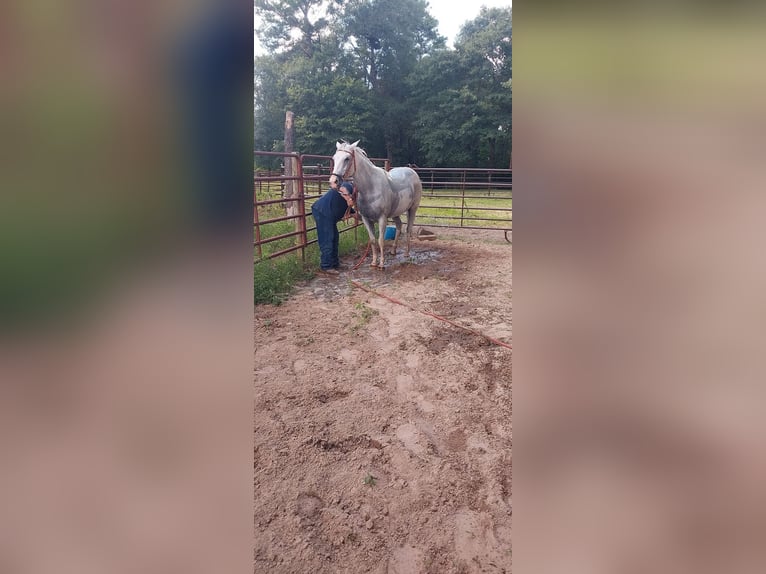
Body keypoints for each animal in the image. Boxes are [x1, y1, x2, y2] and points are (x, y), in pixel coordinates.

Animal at [332, 143, 424, 272]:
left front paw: (381, 264)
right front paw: (373, 263)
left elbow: (381, 240)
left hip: (412, 209)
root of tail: (412, 171)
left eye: (347, 158)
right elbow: (372, 240)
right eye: (334, 158)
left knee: (408, 229)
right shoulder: (366, 219)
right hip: (395, 212)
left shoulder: (382, 218)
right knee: (399, 226)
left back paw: (406, 253)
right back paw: (393, 251)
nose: (333, 181)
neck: (370, 187)